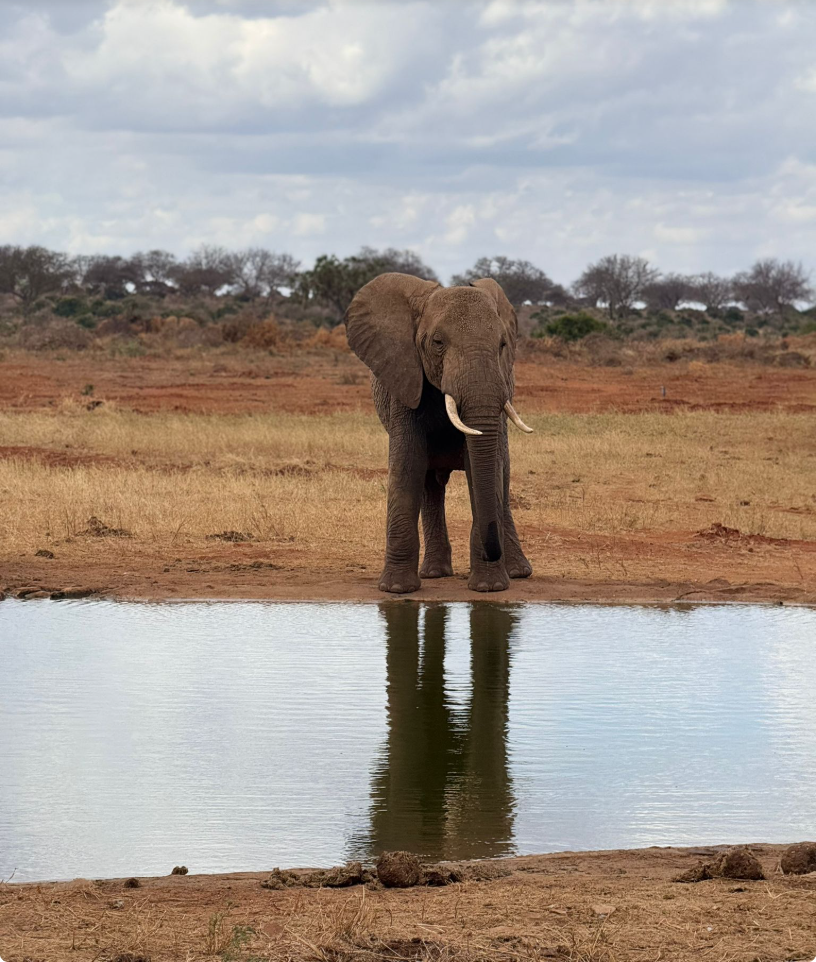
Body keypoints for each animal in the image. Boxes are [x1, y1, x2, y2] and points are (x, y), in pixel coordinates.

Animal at [345, 272, 533, 593]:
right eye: (437, 342)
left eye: (502, 345)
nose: (491, 551)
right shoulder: (406, 381)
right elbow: (406, 468)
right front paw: (396, 590)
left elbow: (486, 472)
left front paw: (490, 587)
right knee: (429, 484)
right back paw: (435, 573)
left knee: (503, 476)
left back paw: (518, 572)